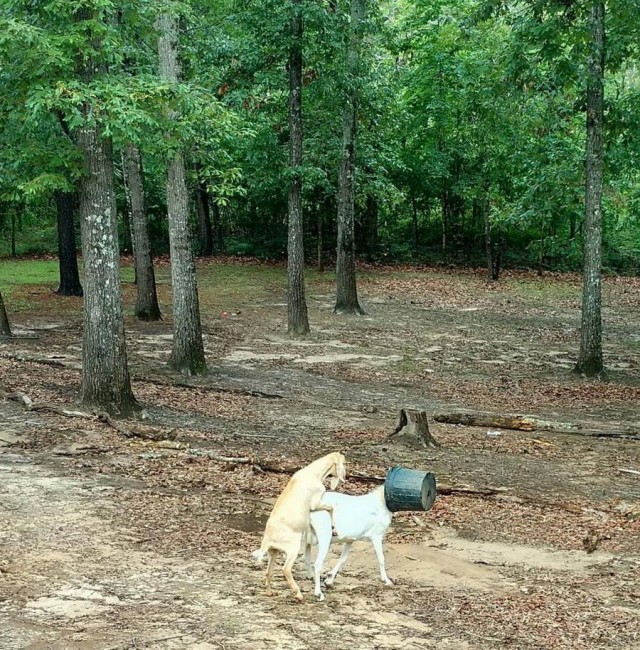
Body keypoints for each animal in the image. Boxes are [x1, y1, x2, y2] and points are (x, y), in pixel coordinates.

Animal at [252, 450, 348, 596]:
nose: (346, 475)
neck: (313, 473)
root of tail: (268, 540)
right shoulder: (315, 504)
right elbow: (331, 507)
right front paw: (333, 528)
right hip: (293, 548)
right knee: (285, 569)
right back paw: (298, 593)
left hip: (273, 552)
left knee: (268, 572)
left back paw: (270, 592)